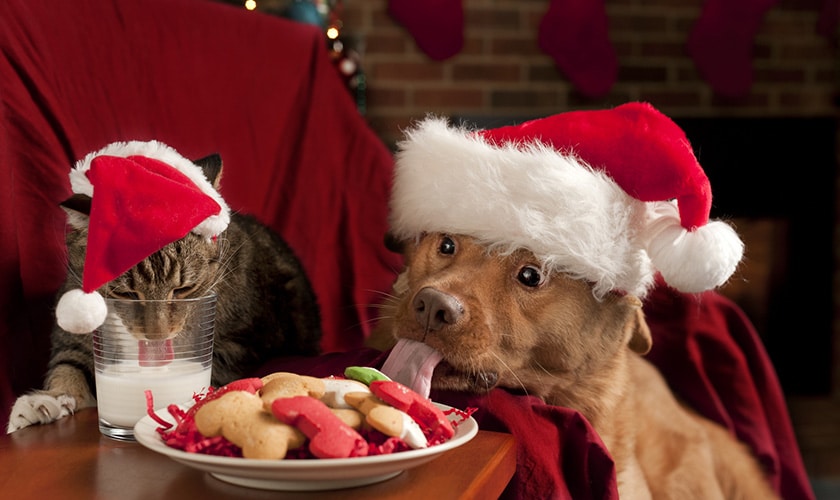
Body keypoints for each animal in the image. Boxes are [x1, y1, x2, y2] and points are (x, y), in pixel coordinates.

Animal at [5, 153, 322, 434]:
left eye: (184, 289)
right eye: (126, 293)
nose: (156, 336)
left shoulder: (240, 345)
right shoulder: (75, 339)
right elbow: (68, 367)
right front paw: (47, 400)